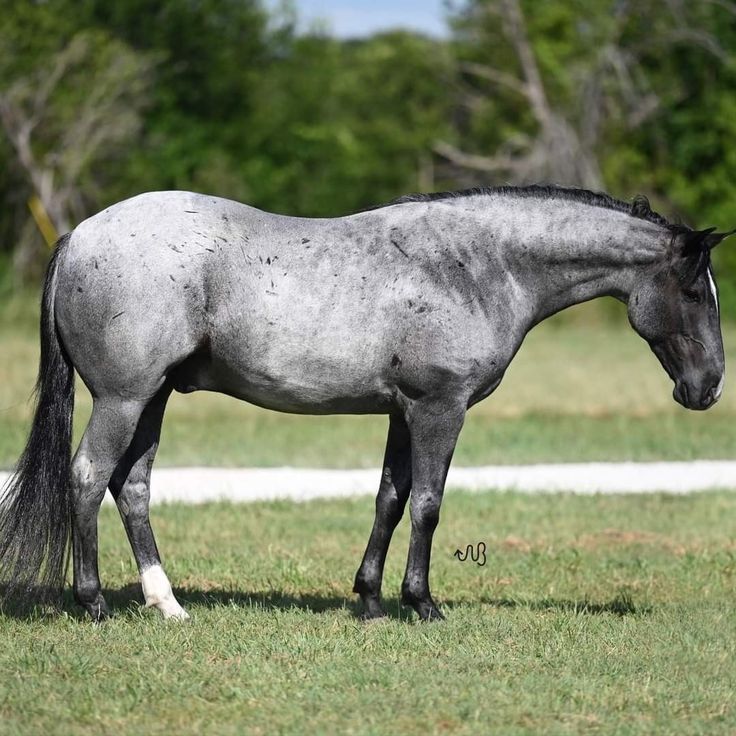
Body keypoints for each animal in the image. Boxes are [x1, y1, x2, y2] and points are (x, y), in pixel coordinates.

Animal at [0, 185, 732, 620]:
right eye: (696, 291)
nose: (708, 388)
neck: (477, 264)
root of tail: (80, 235)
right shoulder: (440, 409)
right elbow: (429, 504)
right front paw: (423, 603)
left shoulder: (404, 413)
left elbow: (390, 497)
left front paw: (371, 599)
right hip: (123, 399)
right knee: (88, 477)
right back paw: (93, 602)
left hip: (151, 400)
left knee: (132, 486)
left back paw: (167, 603)